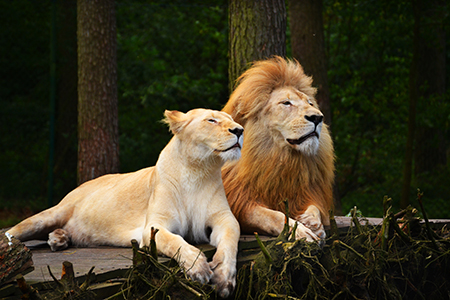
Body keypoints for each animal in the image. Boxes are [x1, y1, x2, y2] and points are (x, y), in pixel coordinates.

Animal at [6, 108, 243, 298]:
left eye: (232, 119)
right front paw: (198, 268)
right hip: (48, 216)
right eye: (211, 120)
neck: (198, 171)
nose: (239, 130)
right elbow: (175, 241)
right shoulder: (154, 226)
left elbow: (230, 241)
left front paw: (224, 279)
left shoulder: (224, 219)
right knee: (12, 234)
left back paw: (59, 238)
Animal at [221, 56, 334, 243]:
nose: (318, 117)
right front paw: (301, 232)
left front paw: (312, 222)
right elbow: (275, 216)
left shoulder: (309, 192)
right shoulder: (240, 203)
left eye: (310, 103)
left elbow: (314, 207)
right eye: (286, 103)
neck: (281, 159)